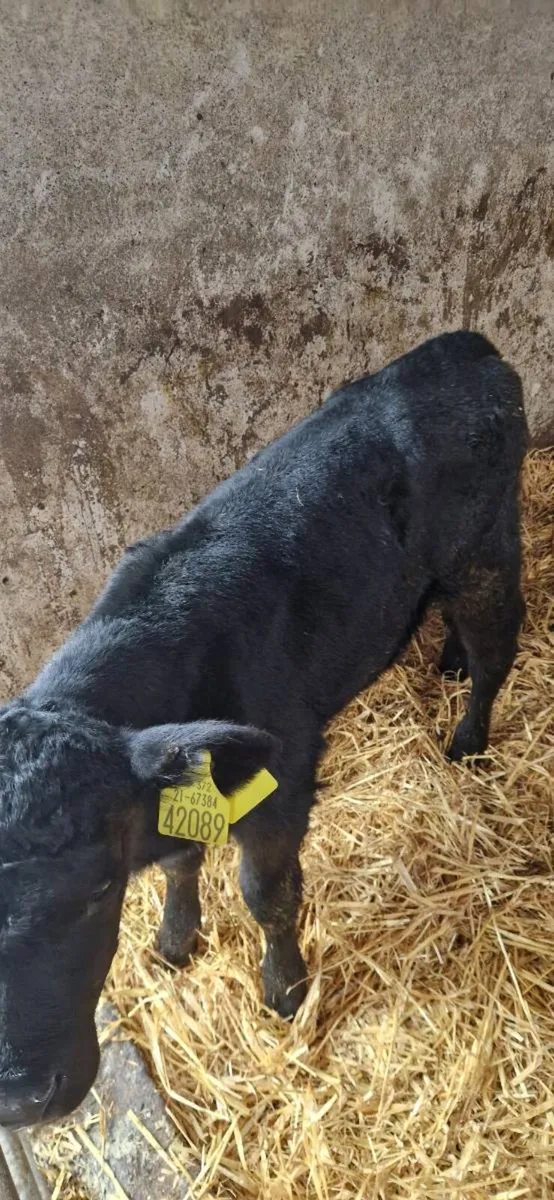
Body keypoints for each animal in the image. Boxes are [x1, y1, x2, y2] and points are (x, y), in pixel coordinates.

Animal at [0, 331, 527, 1127]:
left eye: (97, 890)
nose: (24, 1096)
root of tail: (462, 346)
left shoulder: (283, 777)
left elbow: (264, 894)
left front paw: (284, 988)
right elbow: (182, 863)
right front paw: (174, 941)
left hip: (484, 553)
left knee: (500, 640)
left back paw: (468, 737)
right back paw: (450, 660)